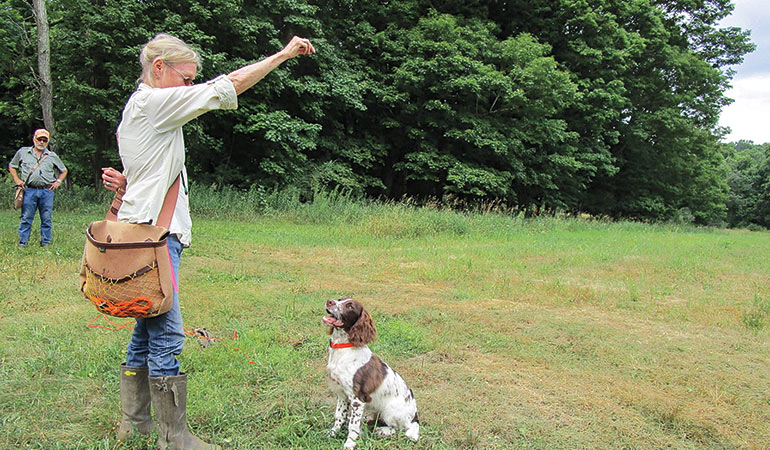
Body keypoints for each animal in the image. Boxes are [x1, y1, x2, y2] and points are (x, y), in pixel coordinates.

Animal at [322, 298, 420, 448]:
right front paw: (332, 433)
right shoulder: (341, 394)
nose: (330, 301)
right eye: (339, 299)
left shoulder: (357, 399)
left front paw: (349, 444)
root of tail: (415, 416)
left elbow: (353, 426)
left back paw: (382, 430)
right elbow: (339, 416)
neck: (343, 347)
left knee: (400, 428)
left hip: (391, 411)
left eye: (350, 306)